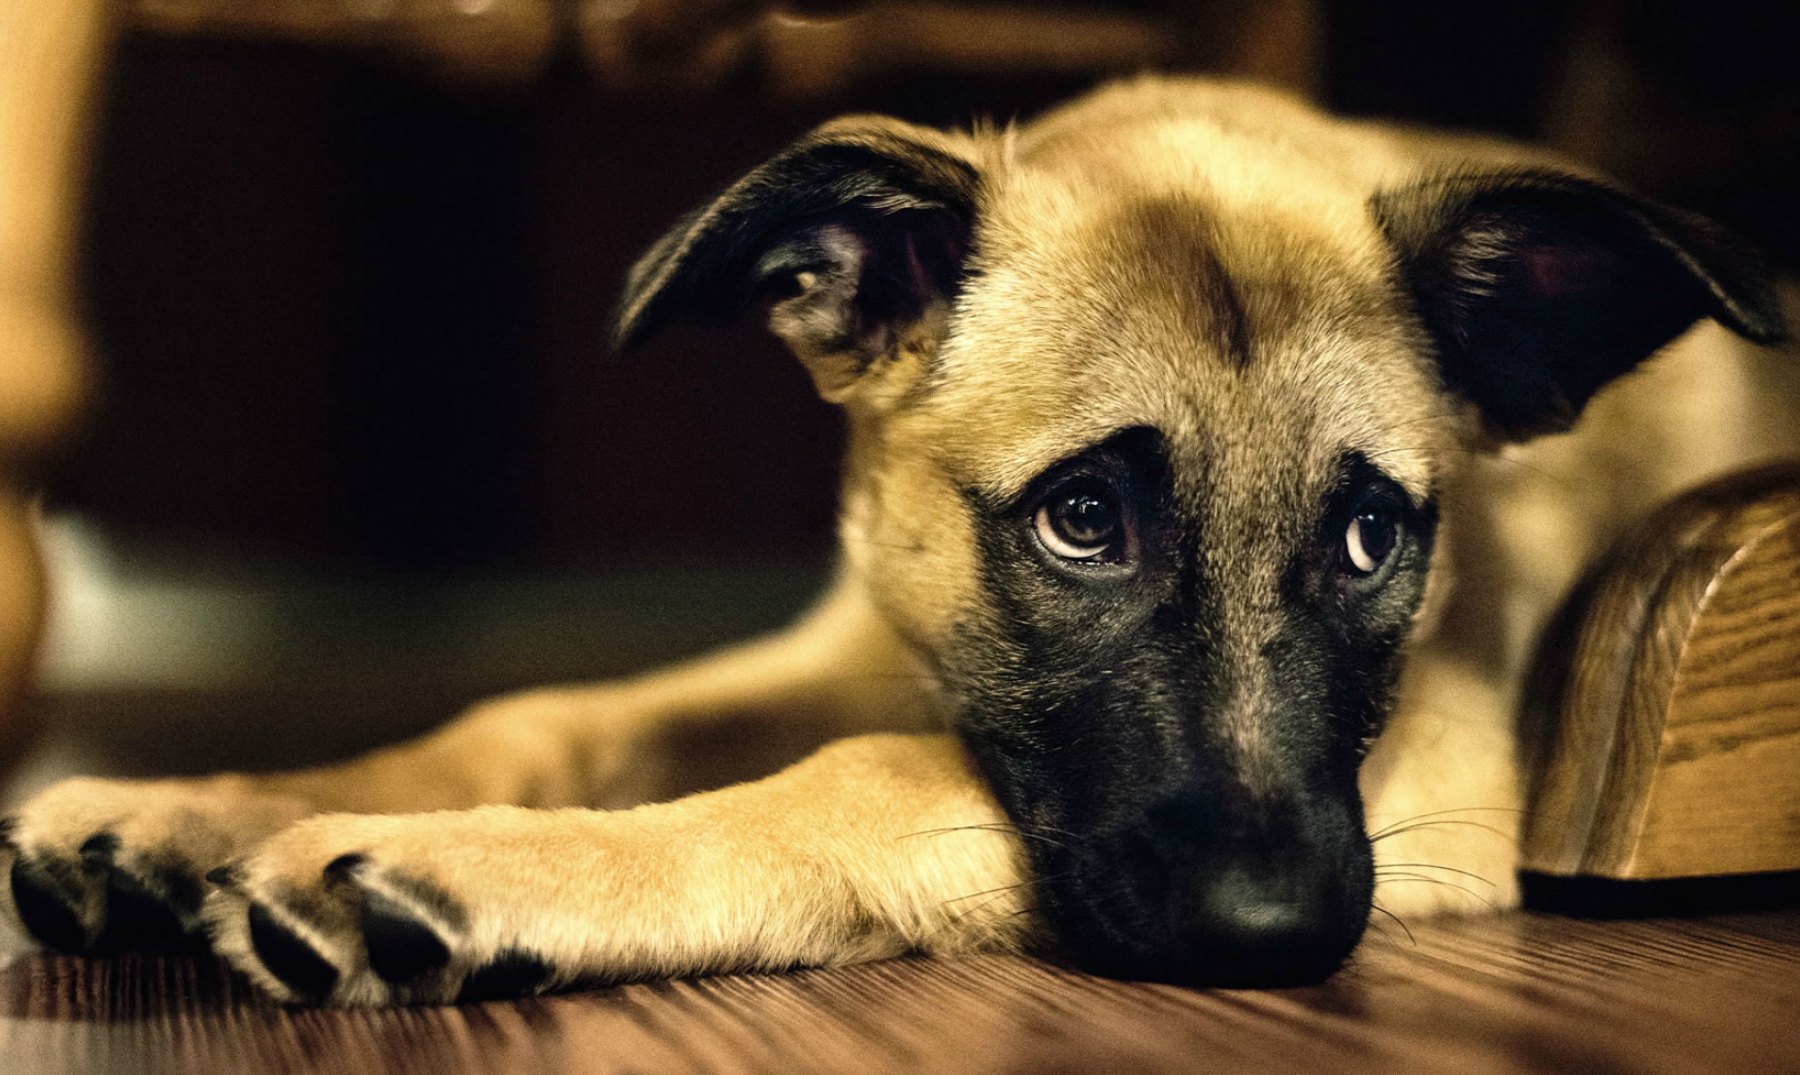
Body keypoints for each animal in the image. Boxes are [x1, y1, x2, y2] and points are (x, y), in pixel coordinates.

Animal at [7, 77, 1792, 1008]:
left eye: (1370, 535)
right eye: (1082, 518)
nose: (1271, 933)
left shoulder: (1444, 769)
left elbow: (862, 777)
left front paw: (479, 862)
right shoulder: (861, 644)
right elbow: (549, 711)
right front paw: (203, 802)